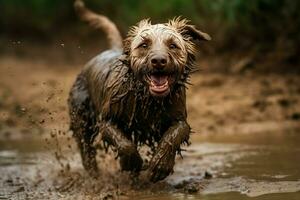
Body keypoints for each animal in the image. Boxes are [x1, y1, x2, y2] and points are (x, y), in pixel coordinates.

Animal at [69, 0, 211, 182]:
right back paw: (93, 173)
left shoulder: (178, 118)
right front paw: (132, 162)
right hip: (82, 114)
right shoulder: (107, 120)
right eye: (144, 45)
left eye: (173, 45)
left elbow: (175, 134)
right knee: (85, 144)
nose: (158, 60)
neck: (147, 98)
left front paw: (160, 165)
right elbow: (125, 144)